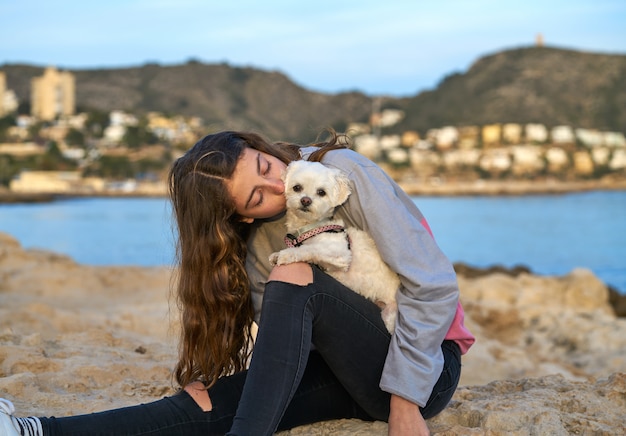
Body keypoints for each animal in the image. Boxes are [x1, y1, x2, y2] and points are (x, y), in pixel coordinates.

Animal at [266, 159, 394, 330]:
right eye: (297, 187)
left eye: (321, 192)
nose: (305, 200)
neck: (310, 227)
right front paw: (278, 253)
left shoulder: (340, 253)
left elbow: (309, 248)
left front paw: (286, 254)